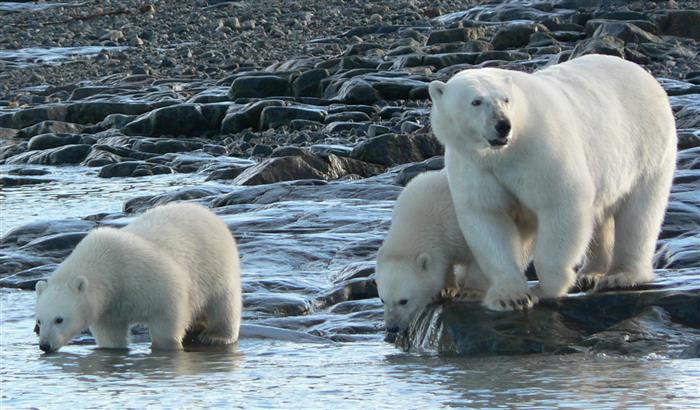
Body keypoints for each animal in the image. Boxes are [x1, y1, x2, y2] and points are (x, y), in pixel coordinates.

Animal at [34, 203, 242, 352]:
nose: (45, 345)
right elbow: (111, 335)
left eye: (59, 319)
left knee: (224, 303)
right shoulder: (107, 308)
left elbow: (168, 311)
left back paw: (216, 336)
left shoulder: (144, 276)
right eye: (39, 321)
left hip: (216, 264)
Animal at [378, 170, 536, 334]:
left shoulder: (460, 226)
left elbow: (479, 257)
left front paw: (470, 292)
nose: (392, 327)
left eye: (403, 301)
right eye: (382, 299)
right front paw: (443, 290)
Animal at [430, 53, 676, 310]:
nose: (503, 125)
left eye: (506, 99)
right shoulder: (474, 166)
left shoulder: (541, 150)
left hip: (647, 147)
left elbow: (561, 204)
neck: (505, 152)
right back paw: (591, 273)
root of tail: (642, 73)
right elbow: (488, 216)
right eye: (476, 101)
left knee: (639, 215)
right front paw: (510, 296)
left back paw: (621, 275)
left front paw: (545, 288)